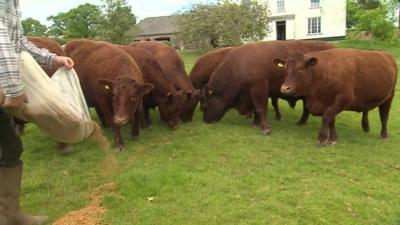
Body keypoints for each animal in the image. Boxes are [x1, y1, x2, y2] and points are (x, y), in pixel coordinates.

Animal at [200, 40, 334, 134]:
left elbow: (260, 108)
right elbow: (256, 109)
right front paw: (255, 123)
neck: (239, 66)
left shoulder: (259, 88)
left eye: (205, 105)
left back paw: (302, 122)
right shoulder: (250, 93)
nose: (205, 121)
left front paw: (265, 128)